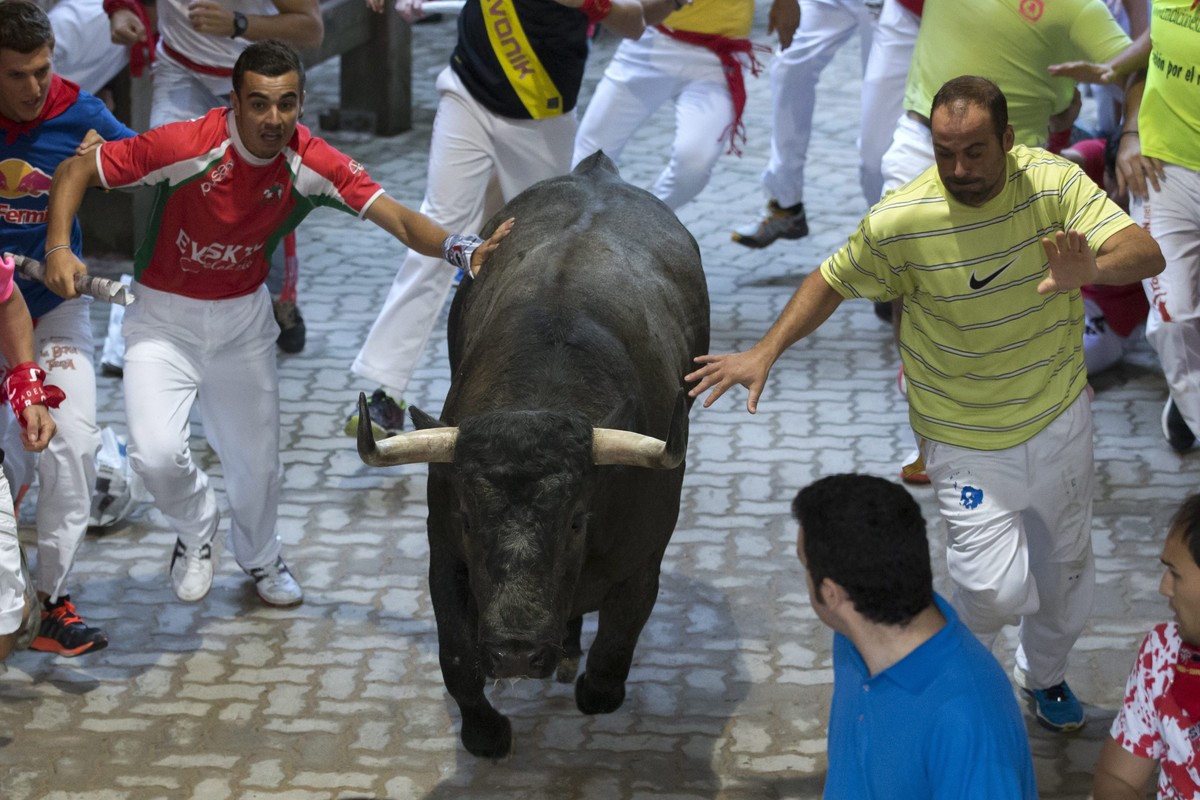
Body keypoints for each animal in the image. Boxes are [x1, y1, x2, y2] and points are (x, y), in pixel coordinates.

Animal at [357, 152, 710, 758]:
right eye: (469, 519)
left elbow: (611, 659)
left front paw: (587, 676)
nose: (517, 652)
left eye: (576, 522)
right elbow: (457, 655)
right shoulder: (444, 552)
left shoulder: (643, 559)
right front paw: (485, 731)